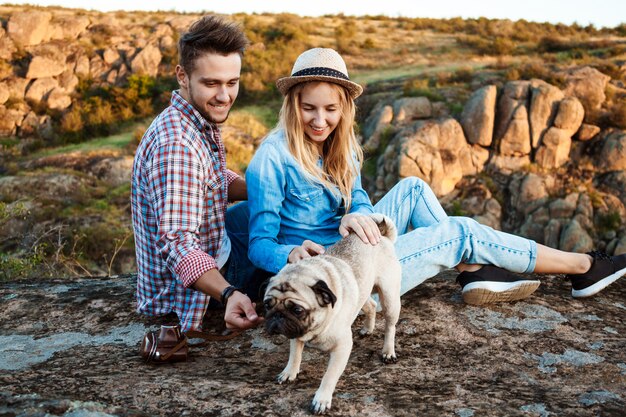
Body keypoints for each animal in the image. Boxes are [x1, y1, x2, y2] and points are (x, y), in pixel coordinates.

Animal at [262, 213, 400, 414]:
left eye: (297, 310)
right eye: (267, 305)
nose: (277, 316)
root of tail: (382, 237)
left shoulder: (342, 348)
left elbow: (329, 376)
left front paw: (321, 399)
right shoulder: (296, 333)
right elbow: (294, 355)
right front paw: (289, 372)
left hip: (390, 296)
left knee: (390, 325)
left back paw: (388, 351)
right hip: (361, 291)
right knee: (371, 305)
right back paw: (368, 328)